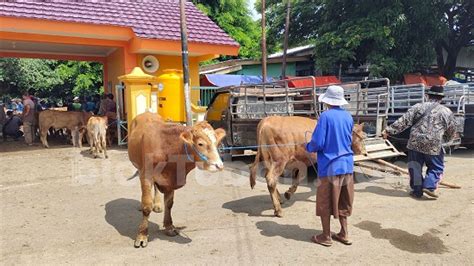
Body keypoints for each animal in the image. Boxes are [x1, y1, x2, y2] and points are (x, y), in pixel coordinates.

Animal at [128, 111, 226, 247]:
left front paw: (169, 226)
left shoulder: (171, 180)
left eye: (217, 143)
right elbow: (146, 206)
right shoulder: (146, 175)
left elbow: (169, 204)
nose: (219, 165)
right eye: (200, 143)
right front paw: (142, 235)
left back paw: (157, 204)